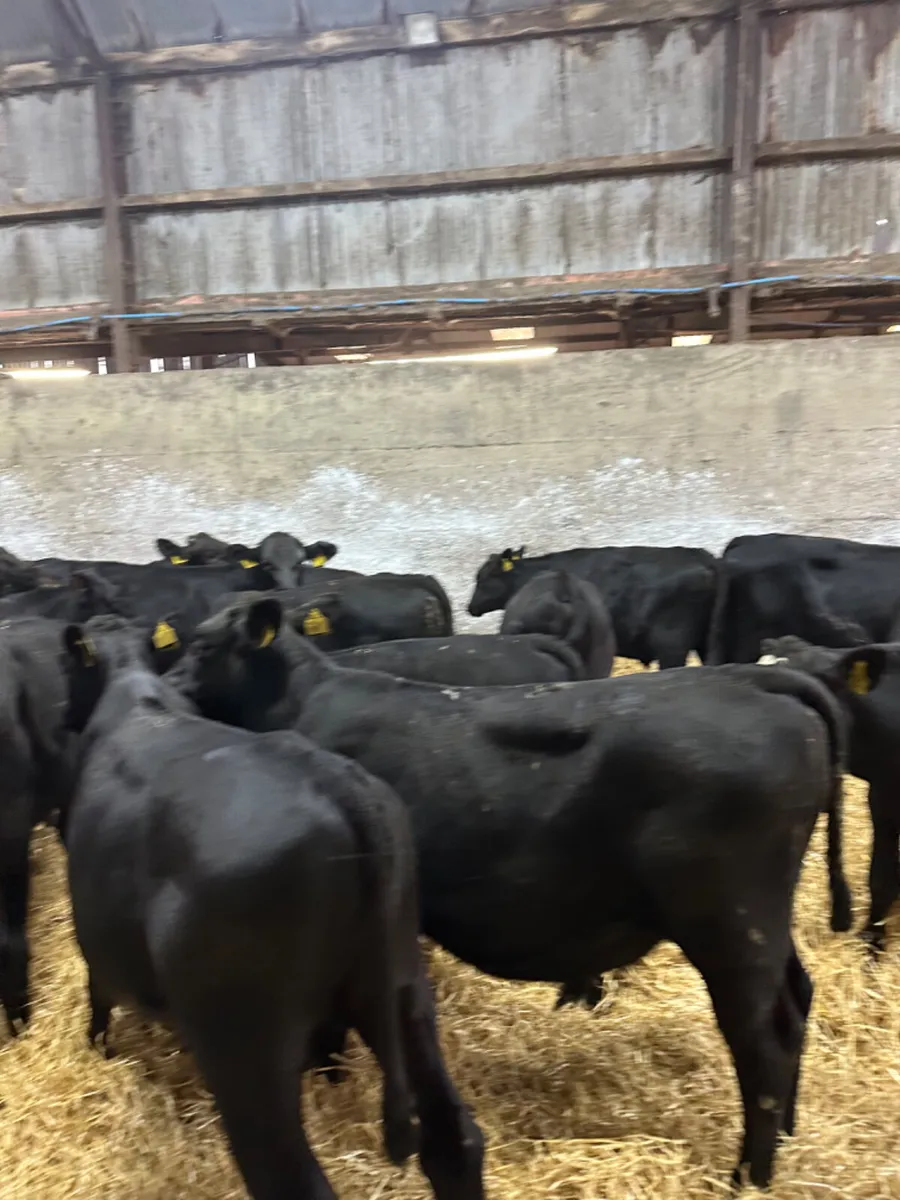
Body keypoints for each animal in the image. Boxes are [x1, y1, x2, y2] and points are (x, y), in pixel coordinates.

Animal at [61, 615, 485, 1200]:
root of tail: (341, 787)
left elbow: (97, 992)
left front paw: (97, 1046)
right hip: (405, 988)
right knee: (454, 1140)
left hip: (246, 1048)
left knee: (285, 1176)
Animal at [173, 595, 852, 1190]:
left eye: (202, 644)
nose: (171, 684)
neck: (301, 699)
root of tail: (761, 681)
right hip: (763, 920)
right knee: (796, 1000)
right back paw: (788, 1135)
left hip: (731, 923)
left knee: (764, 1043)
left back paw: (749, 1176)